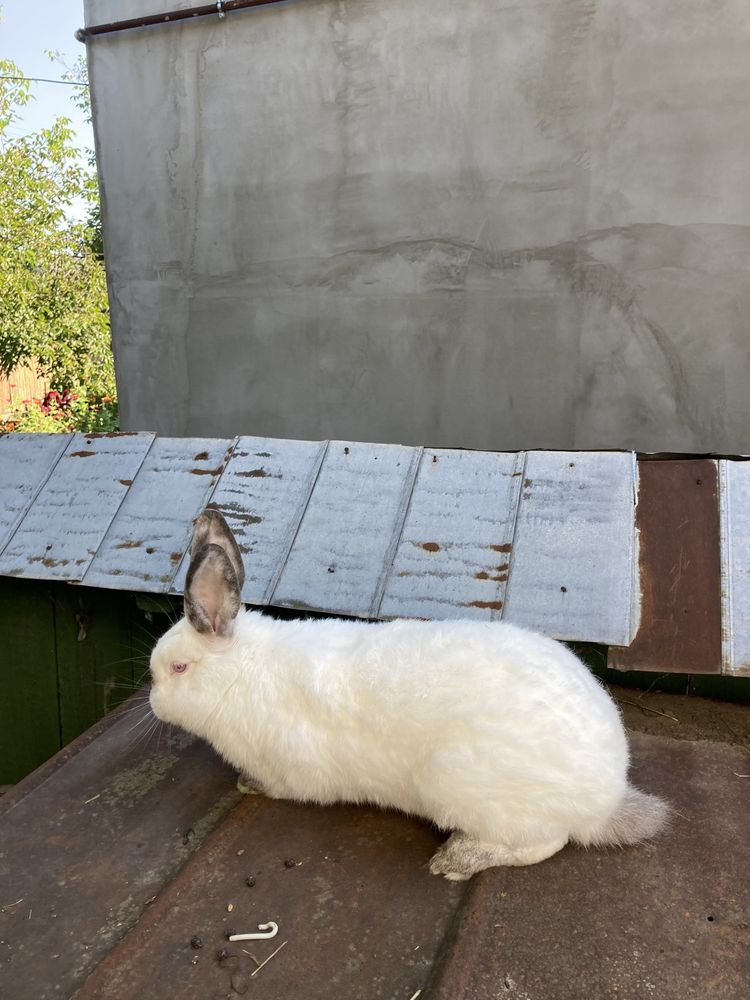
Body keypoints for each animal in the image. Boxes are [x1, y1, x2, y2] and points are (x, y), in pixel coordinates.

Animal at [150, 512, 668, 880]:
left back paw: (456, 860)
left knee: (544, 843)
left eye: (178, 668)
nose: (153, 700)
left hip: (463, 788)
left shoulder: (292, 772)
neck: (241, 672)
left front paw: (247, 784)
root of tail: (606, 799)